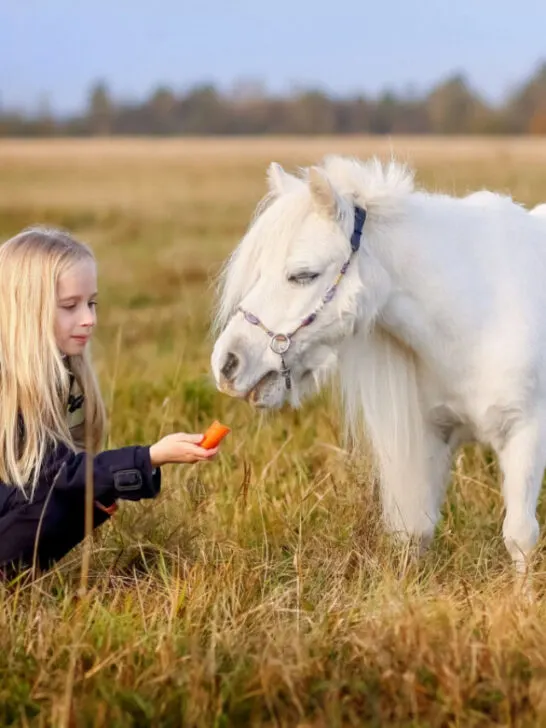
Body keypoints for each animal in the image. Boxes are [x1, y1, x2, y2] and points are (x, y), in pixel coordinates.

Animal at [210, 155, 546, 574]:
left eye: (303, 274)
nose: (227, 363)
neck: (480, 315)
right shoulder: (433, 434)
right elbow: (416, 530)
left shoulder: (526, 433)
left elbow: (520, 537)